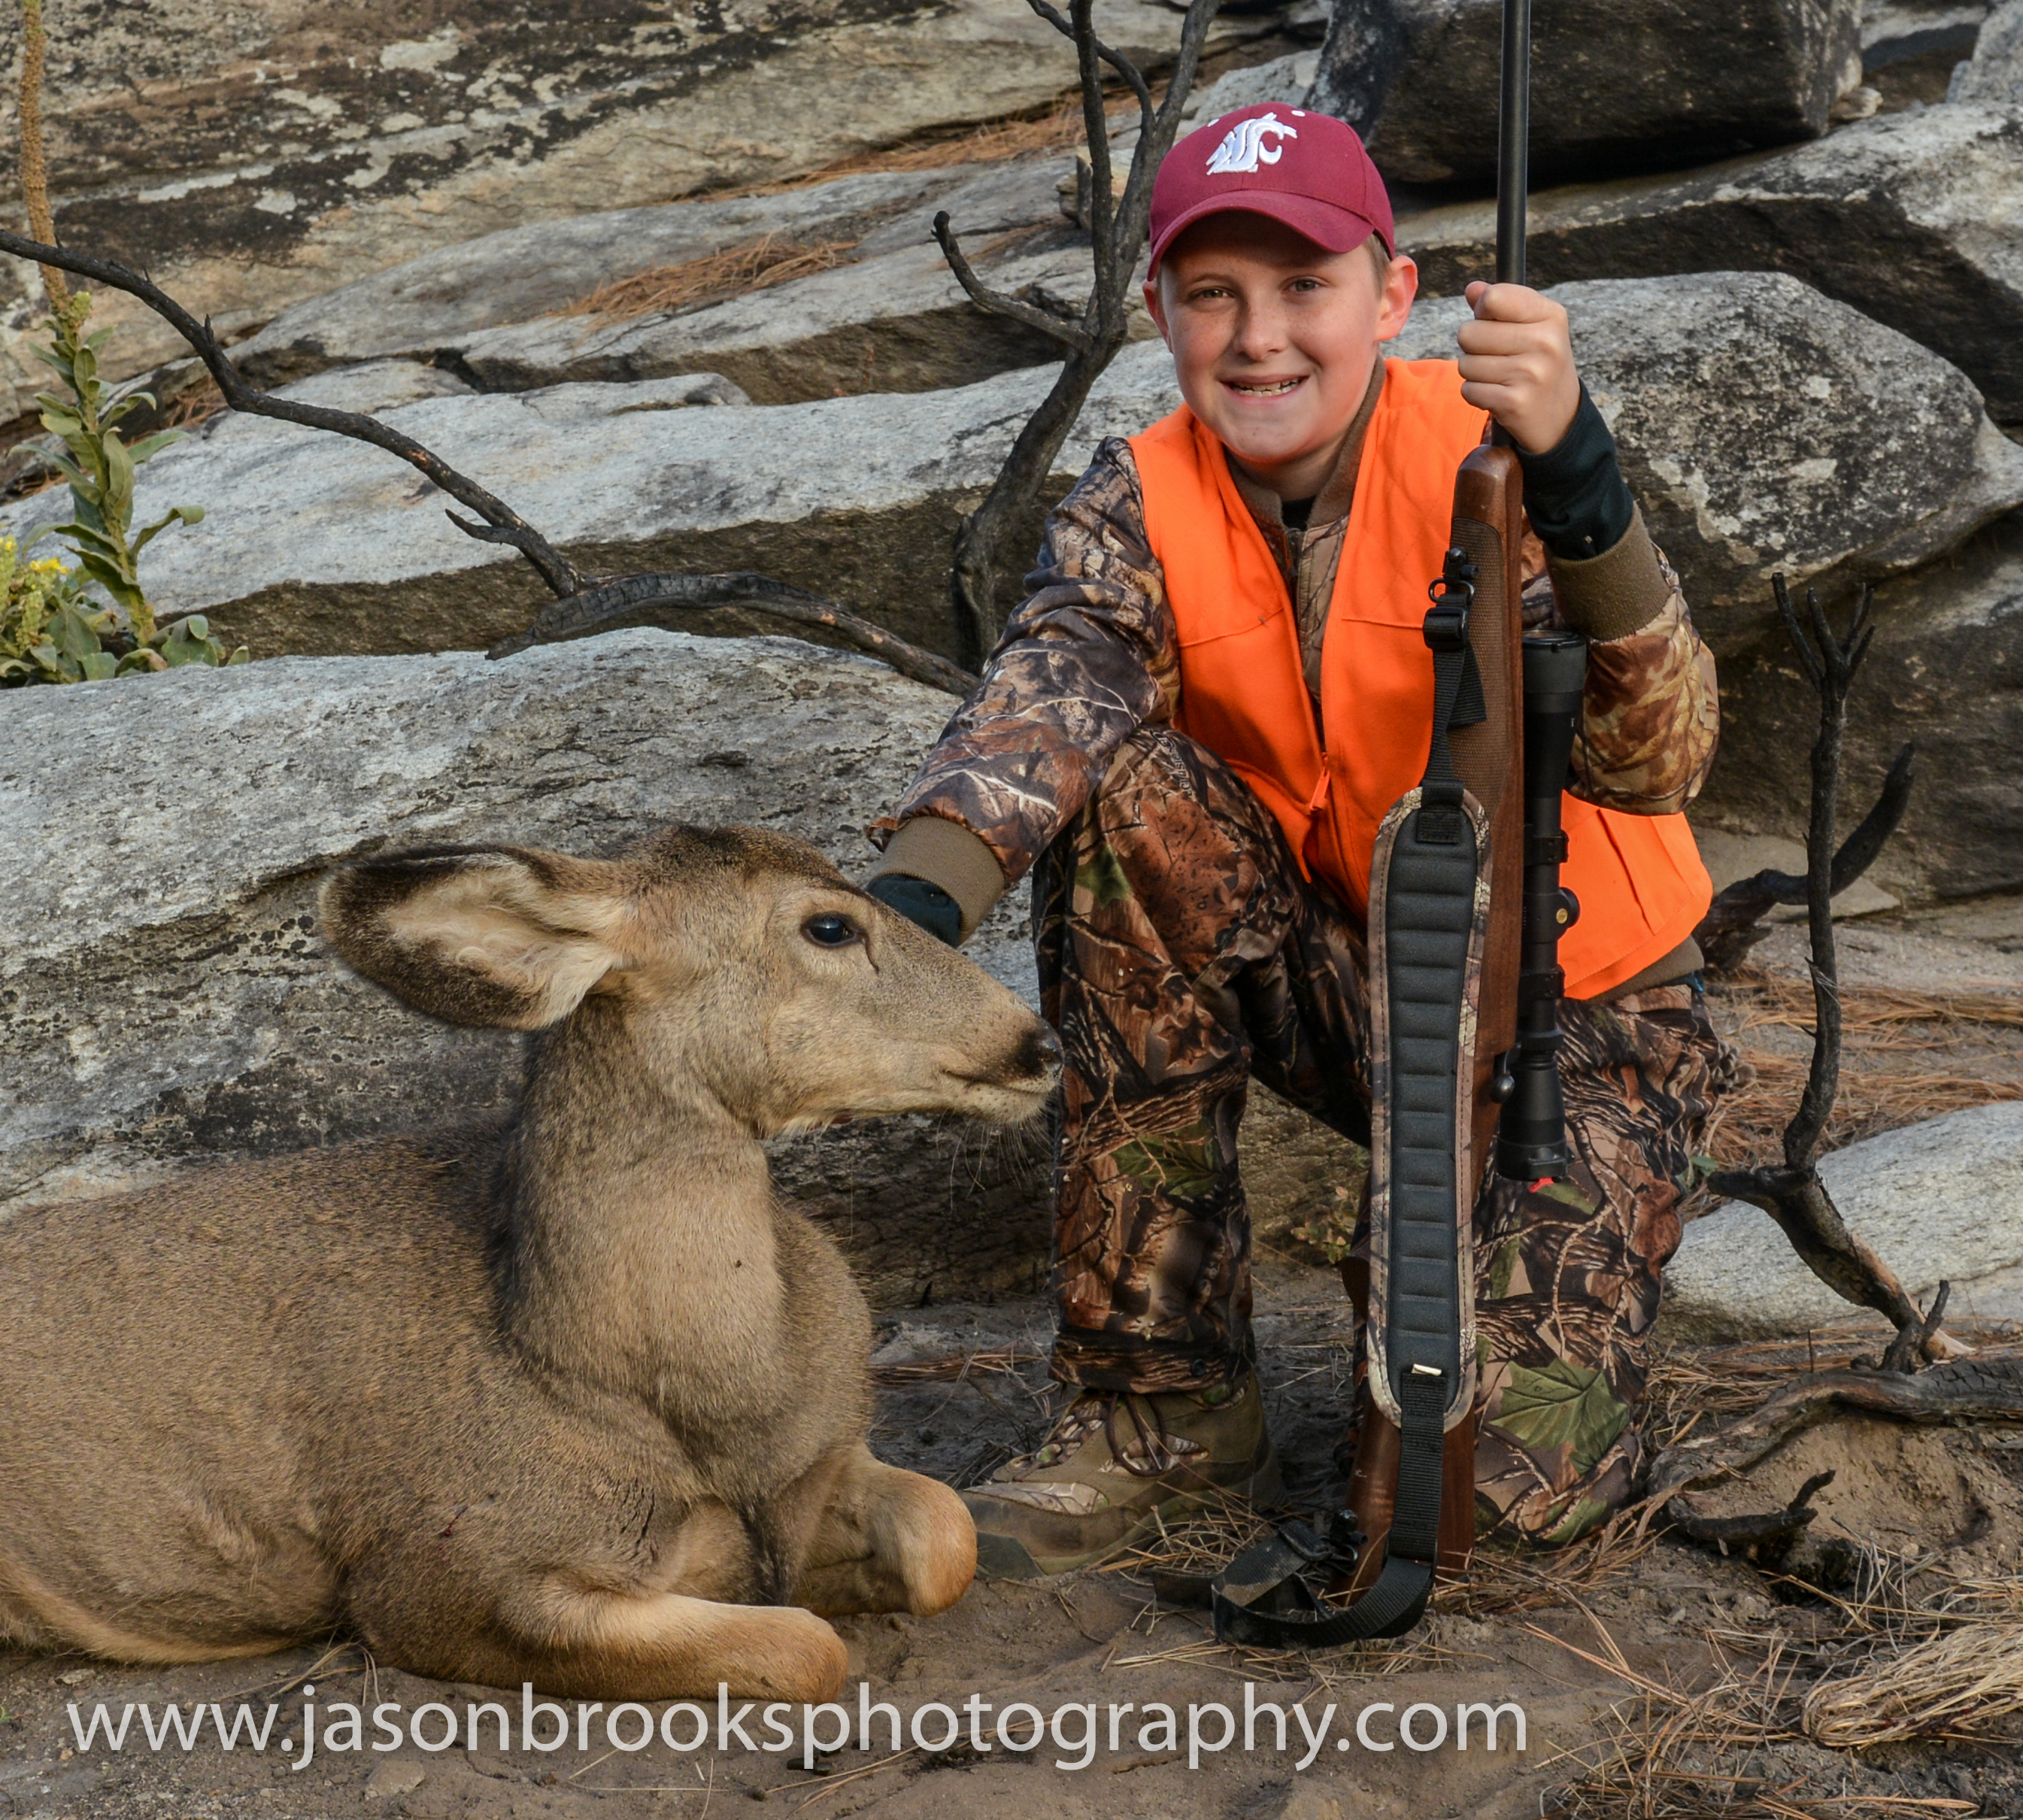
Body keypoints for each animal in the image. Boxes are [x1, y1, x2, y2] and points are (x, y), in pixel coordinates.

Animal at [0, 825, 1059, 1703]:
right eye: (829, 925)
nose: (1038, 1042)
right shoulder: (440, 1576)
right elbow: (807, 1646)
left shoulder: (819, 1462)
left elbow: (947, 1535)